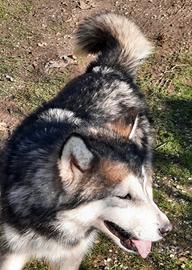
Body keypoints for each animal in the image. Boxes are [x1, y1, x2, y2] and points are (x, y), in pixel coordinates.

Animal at [0, 13, 172, 270]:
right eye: (124, 196)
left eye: (139, 189)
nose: (167, 229)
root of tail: (109, 69)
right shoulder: (12, 251)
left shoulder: (71, 256)